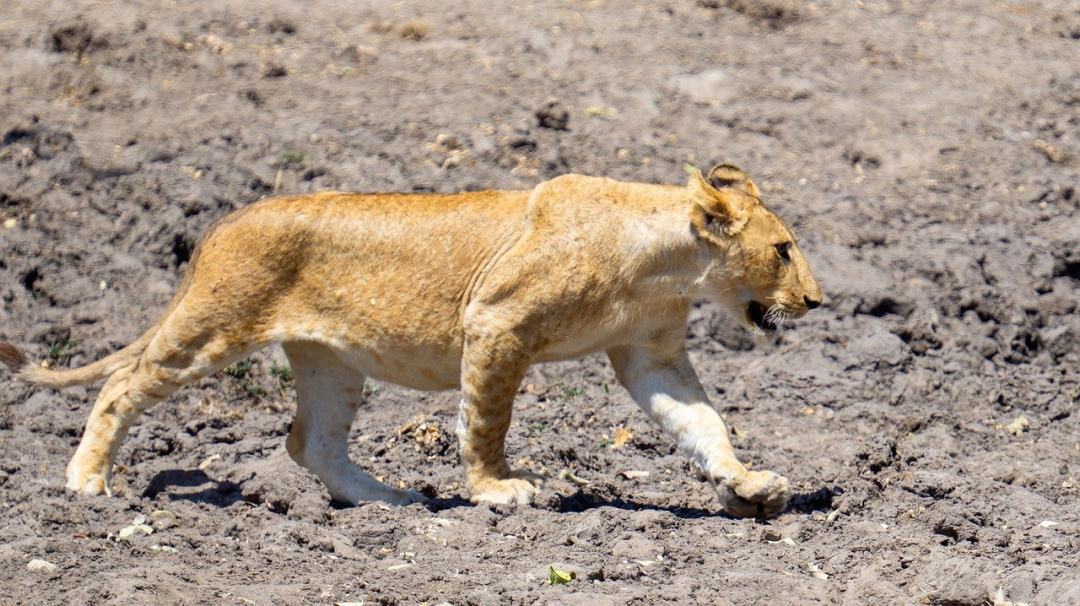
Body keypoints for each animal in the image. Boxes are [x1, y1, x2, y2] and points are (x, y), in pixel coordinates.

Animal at [0, 163, 816, 518]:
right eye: (783, 249)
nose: (817, 300)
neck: (663, 264)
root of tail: (226, 219)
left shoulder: (653, 356)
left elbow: (704, 424)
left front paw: (750, 485)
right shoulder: (496, 324)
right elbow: (486, 421)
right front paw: (497, 491)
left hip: (330, 362)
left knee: (312, 443)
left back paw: (389, 500)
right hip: (212, 327)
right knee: (122, 384)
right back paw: (86, 482)